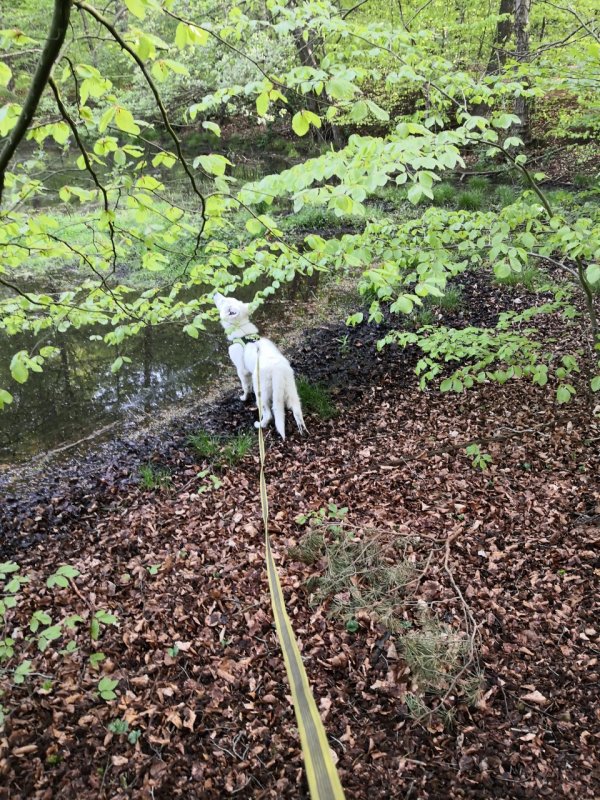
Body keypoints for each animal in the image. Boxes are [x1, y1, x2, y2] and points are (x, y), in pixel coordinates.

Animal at [213, 292, 307, 440]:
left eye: (223, 301)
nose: (215, 293)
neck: (243, 333)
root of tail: (277, 370)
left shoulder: (242, 371)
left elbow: (245, 387)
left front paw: (244, 397)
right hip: (291, 389)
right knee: (297, 411)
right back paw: (303, 430)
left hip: (262, 394)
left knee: (268, 415)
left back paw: (260, 425)